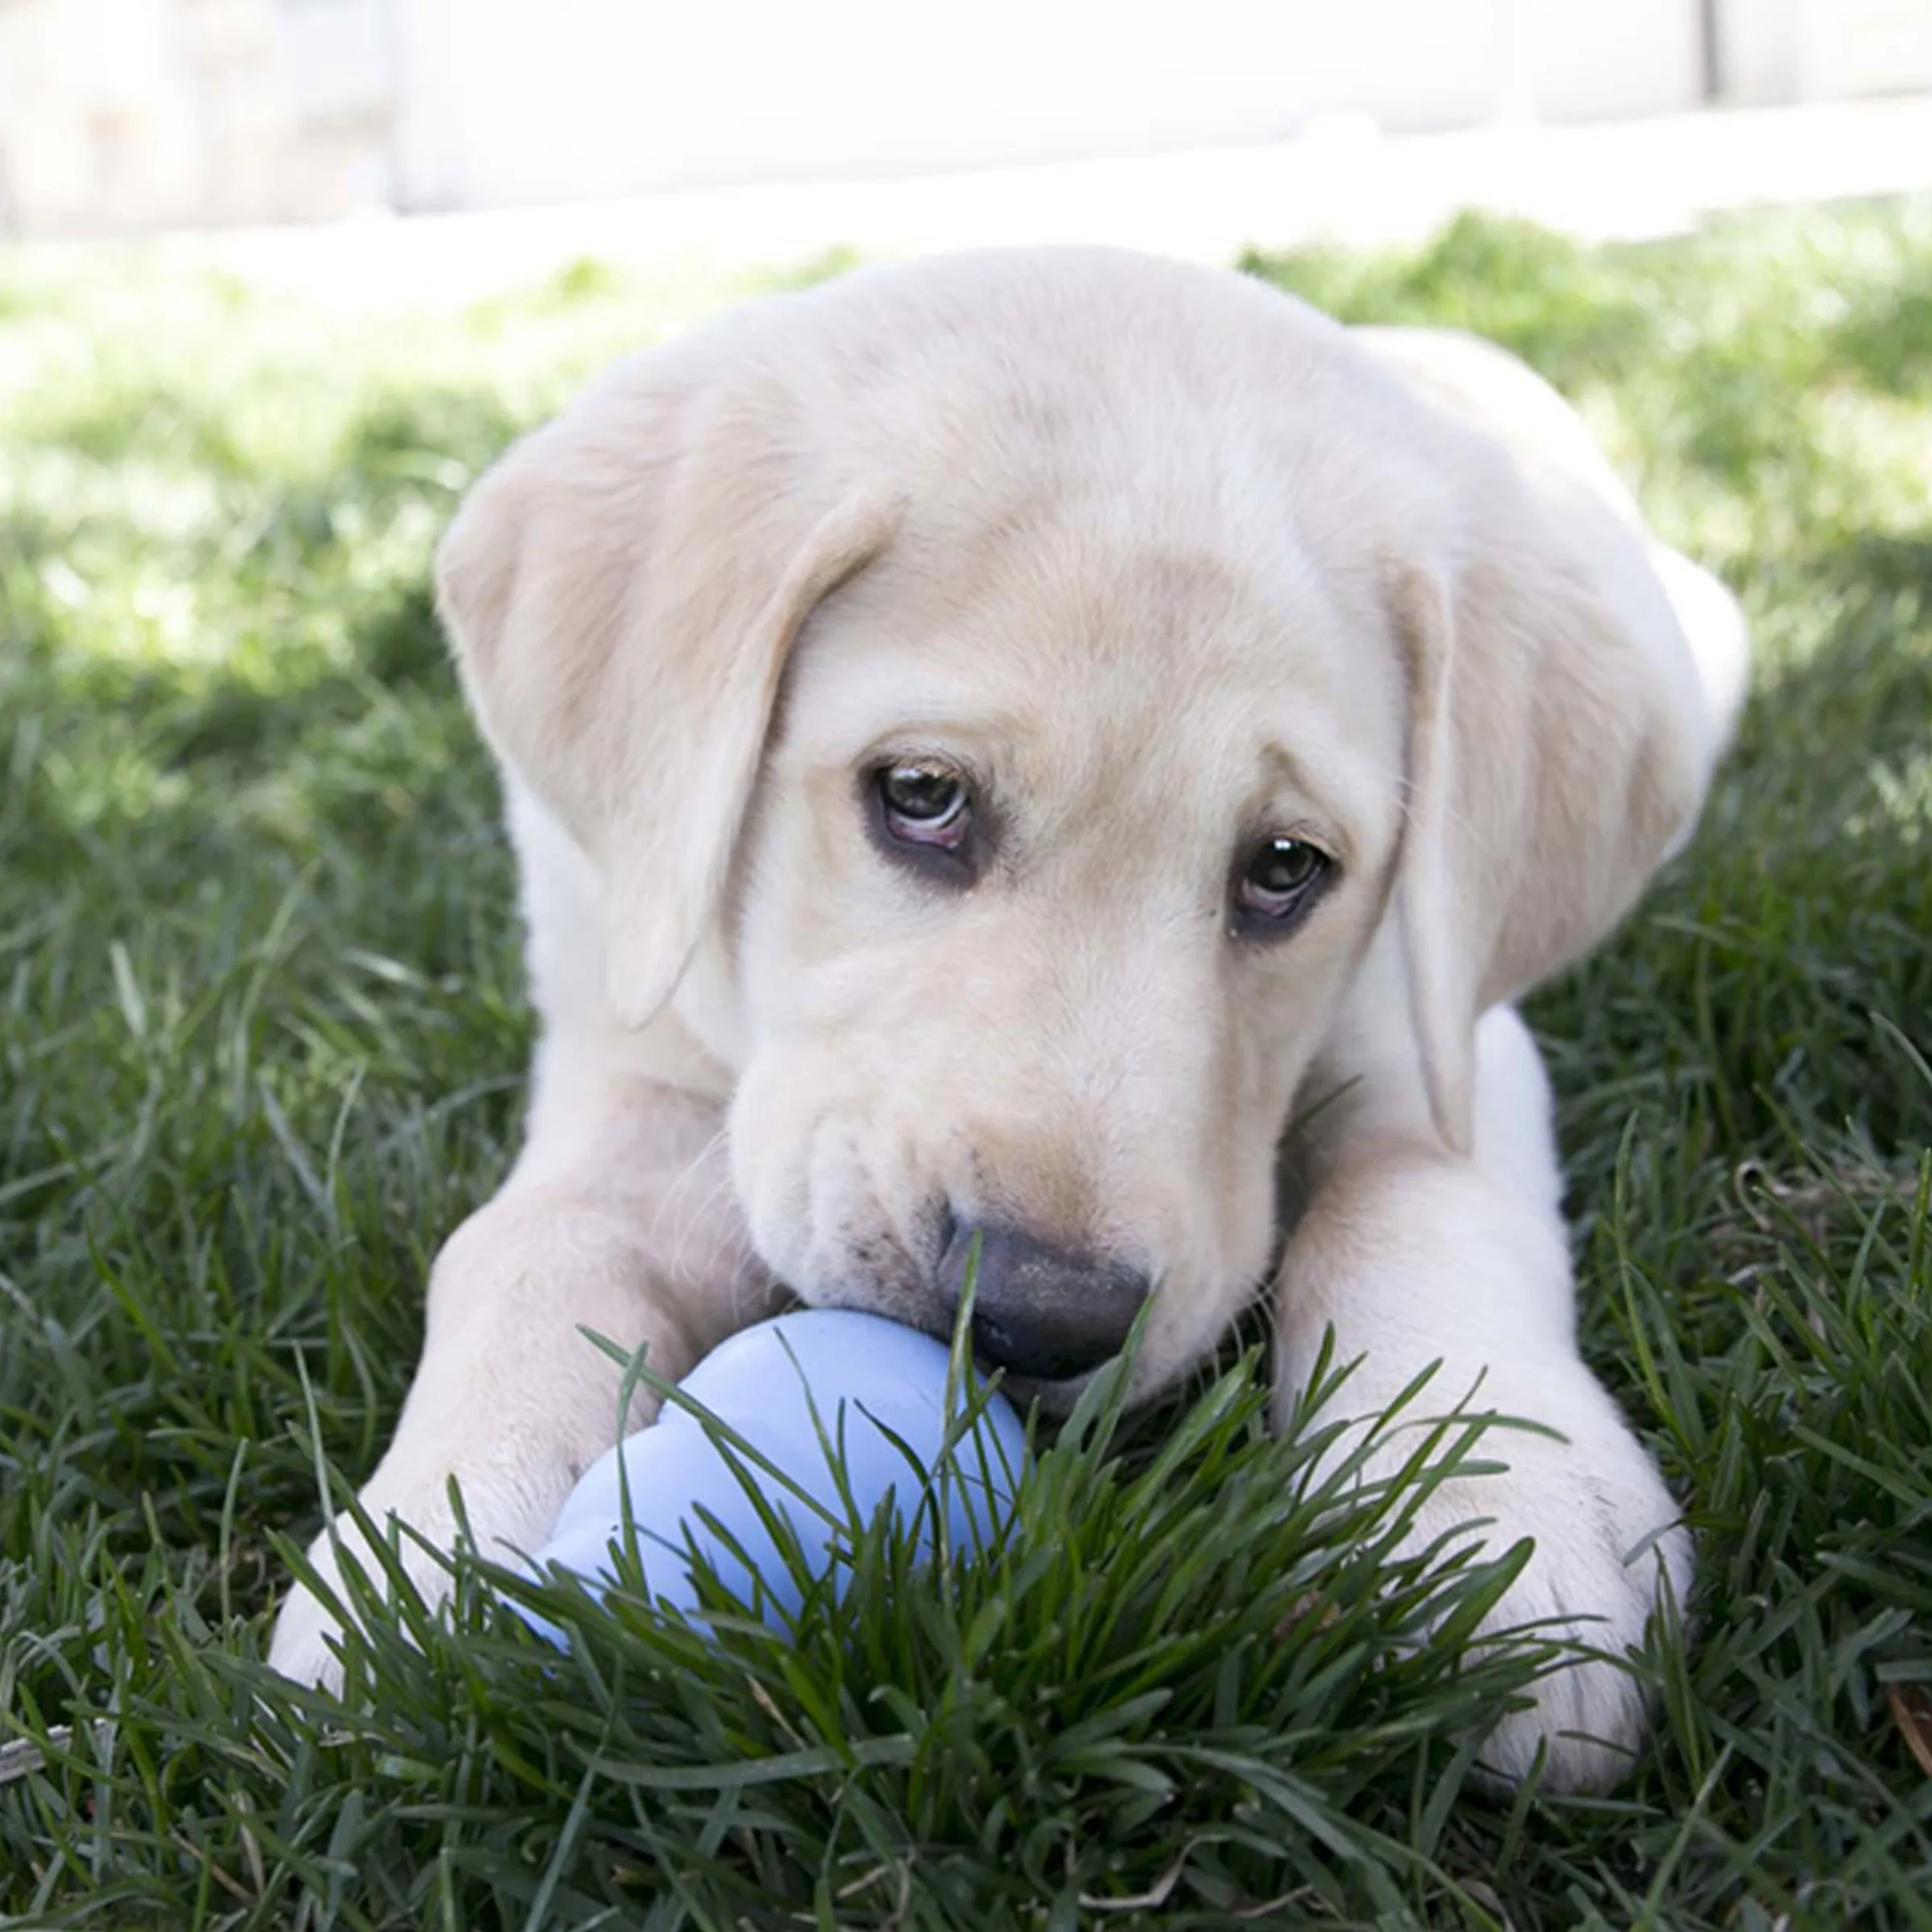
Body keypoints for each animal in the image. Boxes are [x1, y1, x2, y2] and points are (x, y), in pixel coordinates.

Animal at [268, 249, 1754, 1785]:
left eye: (1287, 867)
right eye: (920, 795)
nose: (1044, 1319)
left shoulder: (1436, 1023)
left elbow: (1415, 1198)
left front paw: (1496, 1517)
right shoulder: (623, 1026)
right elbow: (529, 1241)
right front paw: (436, 1542)